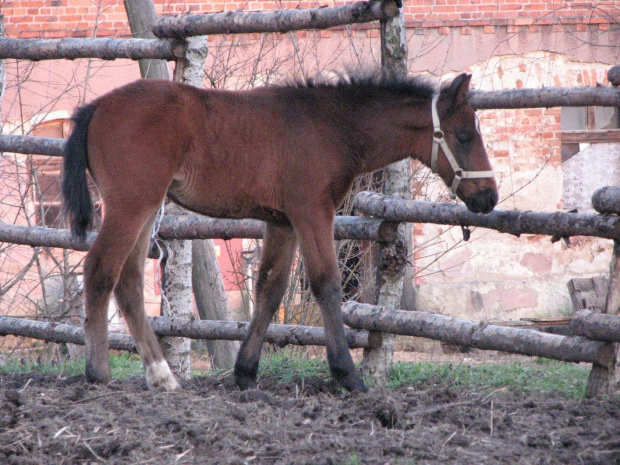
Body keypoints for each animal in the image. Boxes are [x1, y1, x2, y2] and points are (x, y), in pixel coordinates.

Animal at [61, 71, 498, 392]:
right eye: (464, 136)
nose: (489, 197)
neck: (330, 126)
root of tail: (97, 106)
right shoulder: (311, 211)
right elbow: (326, 282)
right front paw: (347, 375)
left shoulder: (282, 220)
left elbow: (270, 288)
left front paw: (245, 372)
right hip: (131, 205)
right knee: (100, 269)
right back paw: (98, 371)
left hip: (147, 207)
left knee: (129, 281)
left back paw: (162, 376)